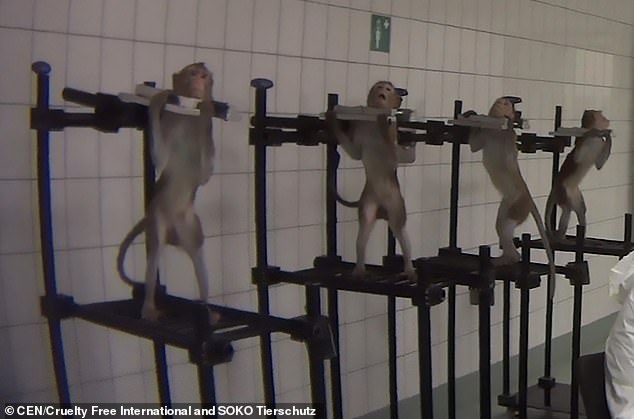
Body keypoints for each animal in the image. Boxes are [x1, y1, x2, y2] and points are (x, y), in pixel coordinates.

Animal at [117, 63, 216, 322]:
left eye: (204, 76)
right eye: (193, 73)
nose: (199, 83)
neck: (187, 117)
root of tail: (175, 233)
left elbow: (204, 177)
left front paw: (207, 108)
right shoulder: (169, 121)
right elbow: (160, 160)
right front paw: (156, 102)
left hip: (190, 226)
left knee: (198, 256)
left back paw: (208, 309)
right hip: (157, 217)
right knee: (155, 253)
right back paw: (148, 308)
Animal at [326, 81, 416, 281]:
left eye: (389, 89)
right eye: (381, 86)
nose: (382, 89)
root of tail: (382, 210)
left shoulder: (393, 130)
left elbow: (398, 156)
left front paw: (385, 125)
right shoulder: (361, 127)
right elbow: (355, 153)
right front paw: (334, 121)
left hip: (396, 203)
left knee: (399, 229)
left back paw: (409, 269)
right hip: (368, 200)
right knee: (364, 229)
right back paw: (359, 269)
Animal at [468, 97, 556, 289]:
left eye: (505, 103)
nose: (501, 101)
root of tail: (528, 199)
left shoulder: (499, 133)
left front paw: (474, 116)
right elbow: (475, 146)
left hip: (517, 206)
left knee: (504, 225)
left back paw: (509, 258)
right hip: (509, 203)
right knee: (501, 222)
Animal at [545, 110, 611, 238]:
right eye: (602, 116)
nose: (607, 119)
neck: (594, 140)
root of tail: (555, 186)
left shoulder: (600, 143)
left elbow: (599, 165)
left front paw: (608, 135)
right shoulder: (584, 142)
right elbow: (577, 157)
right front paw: (590, 132)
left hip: (575, 193)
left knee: (581, 209)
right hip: (563, 192)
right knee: (567, 209)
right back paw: (560, 237)